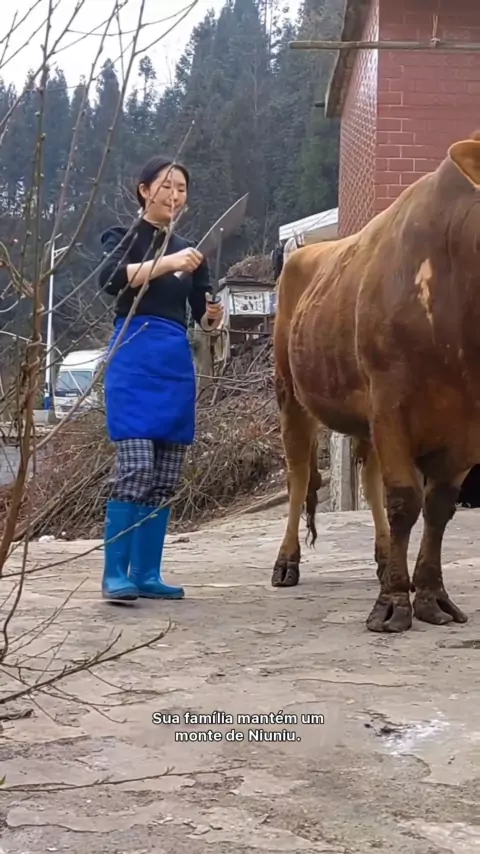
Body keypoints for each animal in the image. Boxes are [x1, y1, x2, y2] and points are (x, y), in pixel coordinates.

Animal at [271, 132, 480, 634]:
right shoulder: (390, 402)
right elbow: (405, 499)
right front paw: (392, 604)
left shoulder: (470, 422)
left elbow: (439, 504)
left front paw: (430, 594)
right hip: (290, 392)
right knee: (299, 474)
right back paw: (286, 562)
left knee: (368, 482)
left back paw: (386, 559)